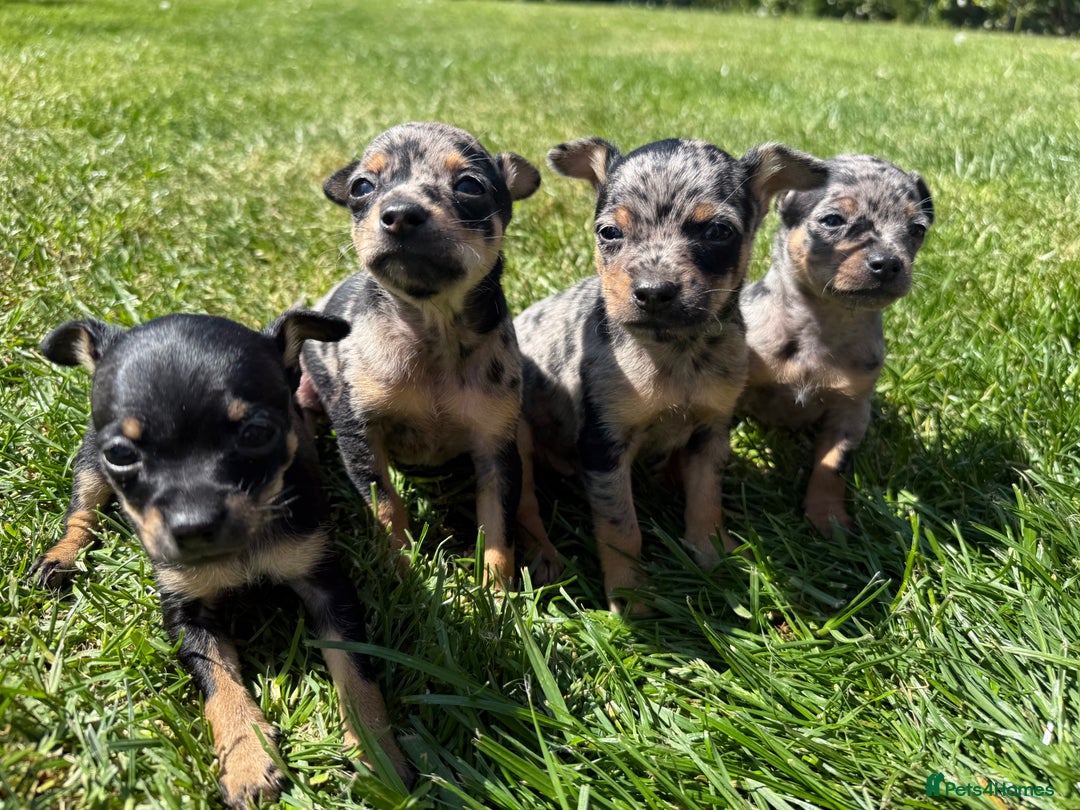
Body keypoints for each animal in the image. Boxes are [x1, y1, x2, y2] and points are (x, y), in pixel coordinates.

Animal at [32, 311, 415, 807]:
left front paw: (376, 756)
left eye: (257, 434)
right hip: (88, 465)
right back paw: (59, 558)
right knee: (82, 511)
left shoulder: (328, 584)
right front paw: (247, 757)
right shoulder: (185, 611)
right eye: (121, 453)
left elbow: (357, 672)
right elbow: (218, 680)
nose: (193, 527)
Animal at [298, 122, 546, 586]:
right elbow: (385, 506)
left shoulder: (495, 448)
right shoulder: (359, 431)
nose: (399, 213)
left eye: (469, 185)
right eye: (361, 187)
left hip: (519, 433)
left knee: (528, 502)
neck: (434, 331)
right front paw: (401, 573)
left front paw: (497, 594)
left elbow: (498, 528)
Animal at [514, 136, 829, 612]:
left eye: (717, 232)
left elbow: (705, 501)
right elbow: (621, 528)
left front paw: (712, 556)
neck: (676, 351)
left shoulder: (710, 433)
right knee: (526, 505)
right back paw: (544, 557)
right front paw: (630, 597)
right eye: (609, 233)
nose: (652, 292)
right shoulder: (605, 446)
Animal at [738, 154, 934, 535]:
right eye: (833, 220)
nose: (889, 263)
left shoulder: (850, 410)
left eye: (917, 229)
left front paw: (827, 517)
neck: (822, 322)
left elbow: (832, 465)